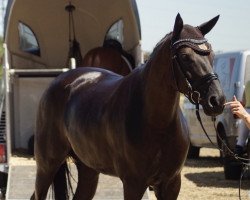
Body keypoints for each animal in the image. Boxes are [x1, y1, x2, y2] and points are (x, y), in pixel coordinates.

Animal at [30, 13, 225, 199]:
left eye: (212, 55)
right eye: (185, 56)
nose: (217, 100)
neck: (157, 124)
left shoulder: (171, 183)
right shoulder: (134, 184)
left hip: (88, 169)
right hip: (47, 165)